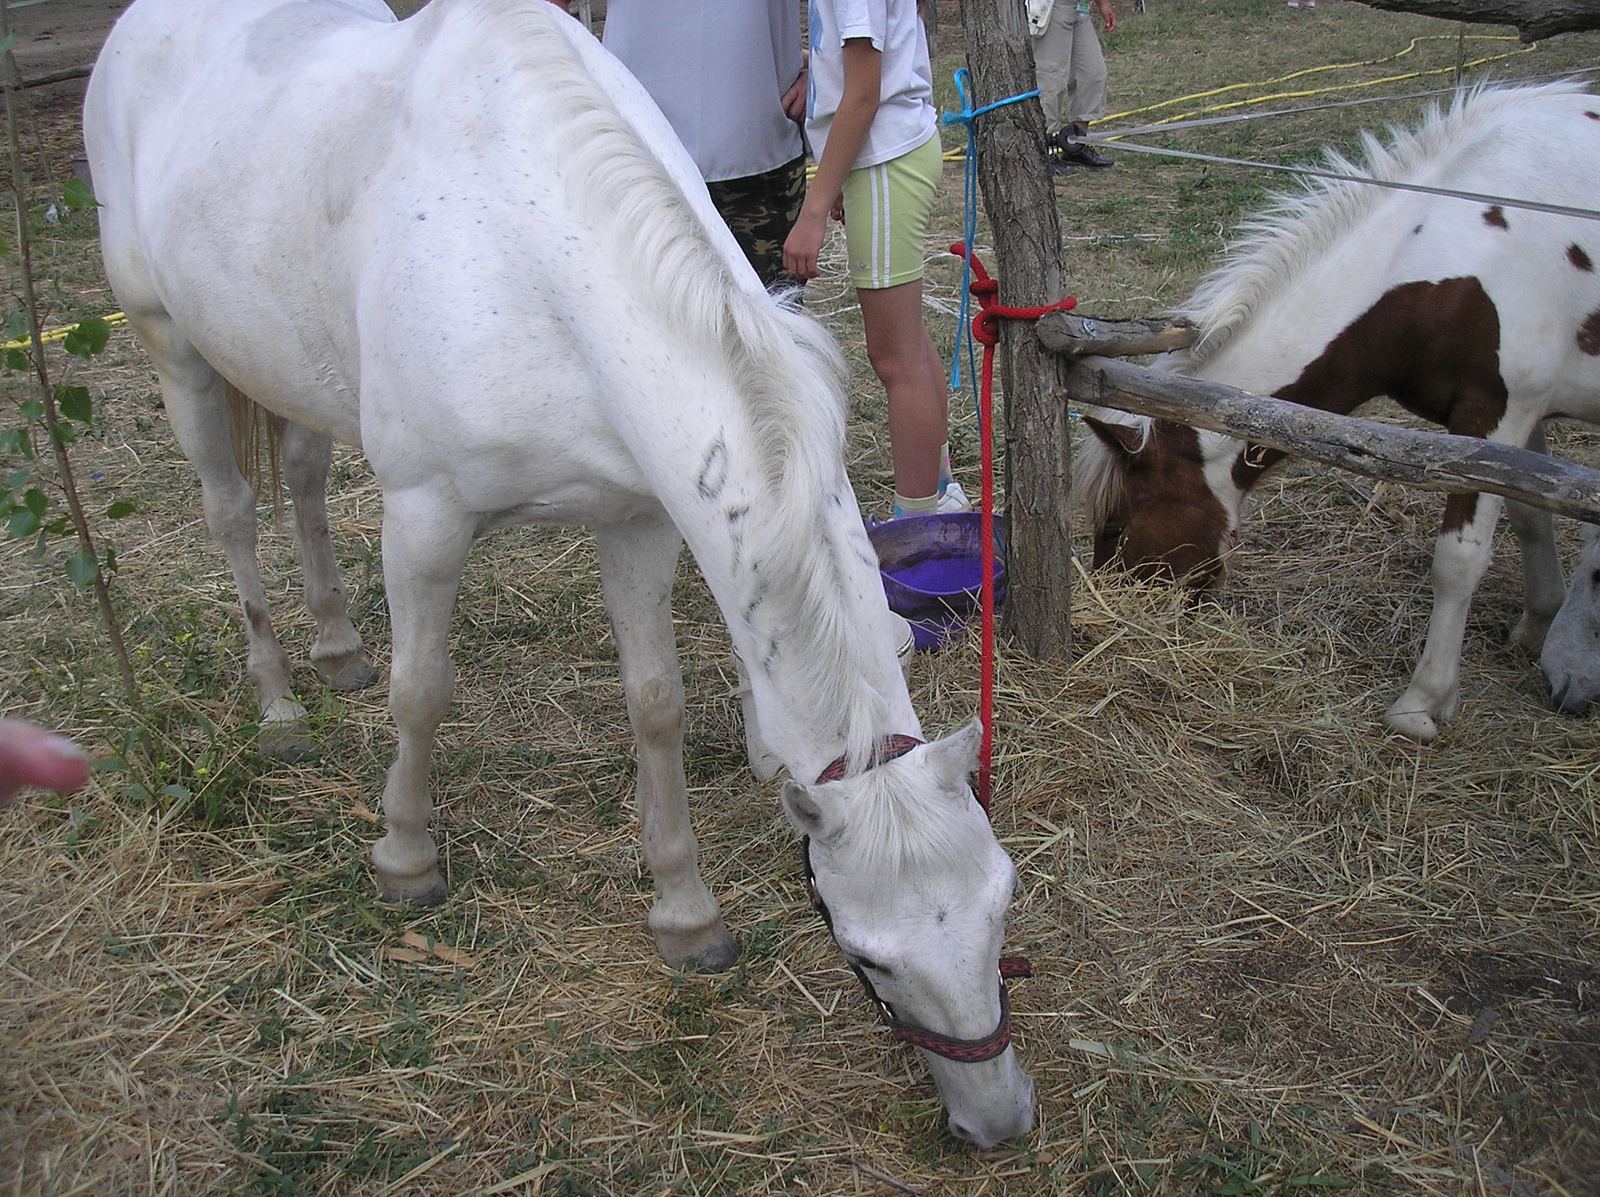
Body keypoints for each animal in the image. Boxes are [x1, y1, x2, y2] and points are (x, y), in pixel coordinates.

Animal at [87, 0, 1036, 1145]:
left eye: (1002, 902)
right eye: (867, 956)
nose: (998, 1121)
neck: (533, 246)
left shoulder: (635, 516)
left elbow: (655, 704)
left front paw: (685, 913)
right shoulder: (424, 517)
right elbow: (421, 692)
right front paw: (406, 856)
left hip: (287, 371)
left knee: (306, 478)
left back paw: (336, 646)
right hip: (174, 347)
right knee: (230, 515)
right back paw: (277, 703)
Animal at [1068, 82, 1600, 739]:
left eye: (1116, 529)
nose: (1116, 614)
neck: (1452, 262)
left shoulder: (1497, 412)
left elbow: (1460, 558)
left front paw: (1422, 704)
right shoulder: (1514, 425)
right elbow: (1531, 515)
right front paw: (1536, 622)